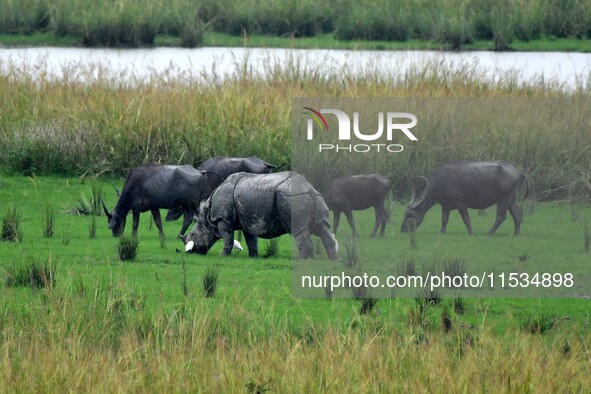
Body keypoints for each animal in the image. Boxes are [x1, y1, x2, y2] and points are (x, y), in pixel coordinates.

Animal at [183, 171, 338, 260]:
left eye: (192, 235)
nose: (190, 252)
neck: (207, 216)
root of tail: (308, 188)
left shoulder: (223, 219)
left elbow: (228, 239)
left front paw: (222, 257)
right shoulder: (248, 220)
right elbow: (251, 240)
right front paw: (253, 257)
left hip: (292, 198)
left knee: (299, 230)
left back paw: (300, 261)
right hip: (314, 197)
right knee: (321, 227)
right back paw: (335, 261)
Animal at [400, 159, 528, 234]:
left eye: (410, 215)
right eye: (404, 214)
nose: (402, 228)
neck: (440, 181)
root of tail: (519, 172)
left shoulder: (461, 204)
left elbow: (466, 219)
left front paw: (471, 233)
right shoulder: (445, 206)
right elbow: (444, 220)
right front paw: (442, 233)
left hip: (503, 198)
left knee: (501, 216)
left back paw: (489, 233)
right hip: (511, 199)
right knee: (517, 216)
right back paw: (516, 235)